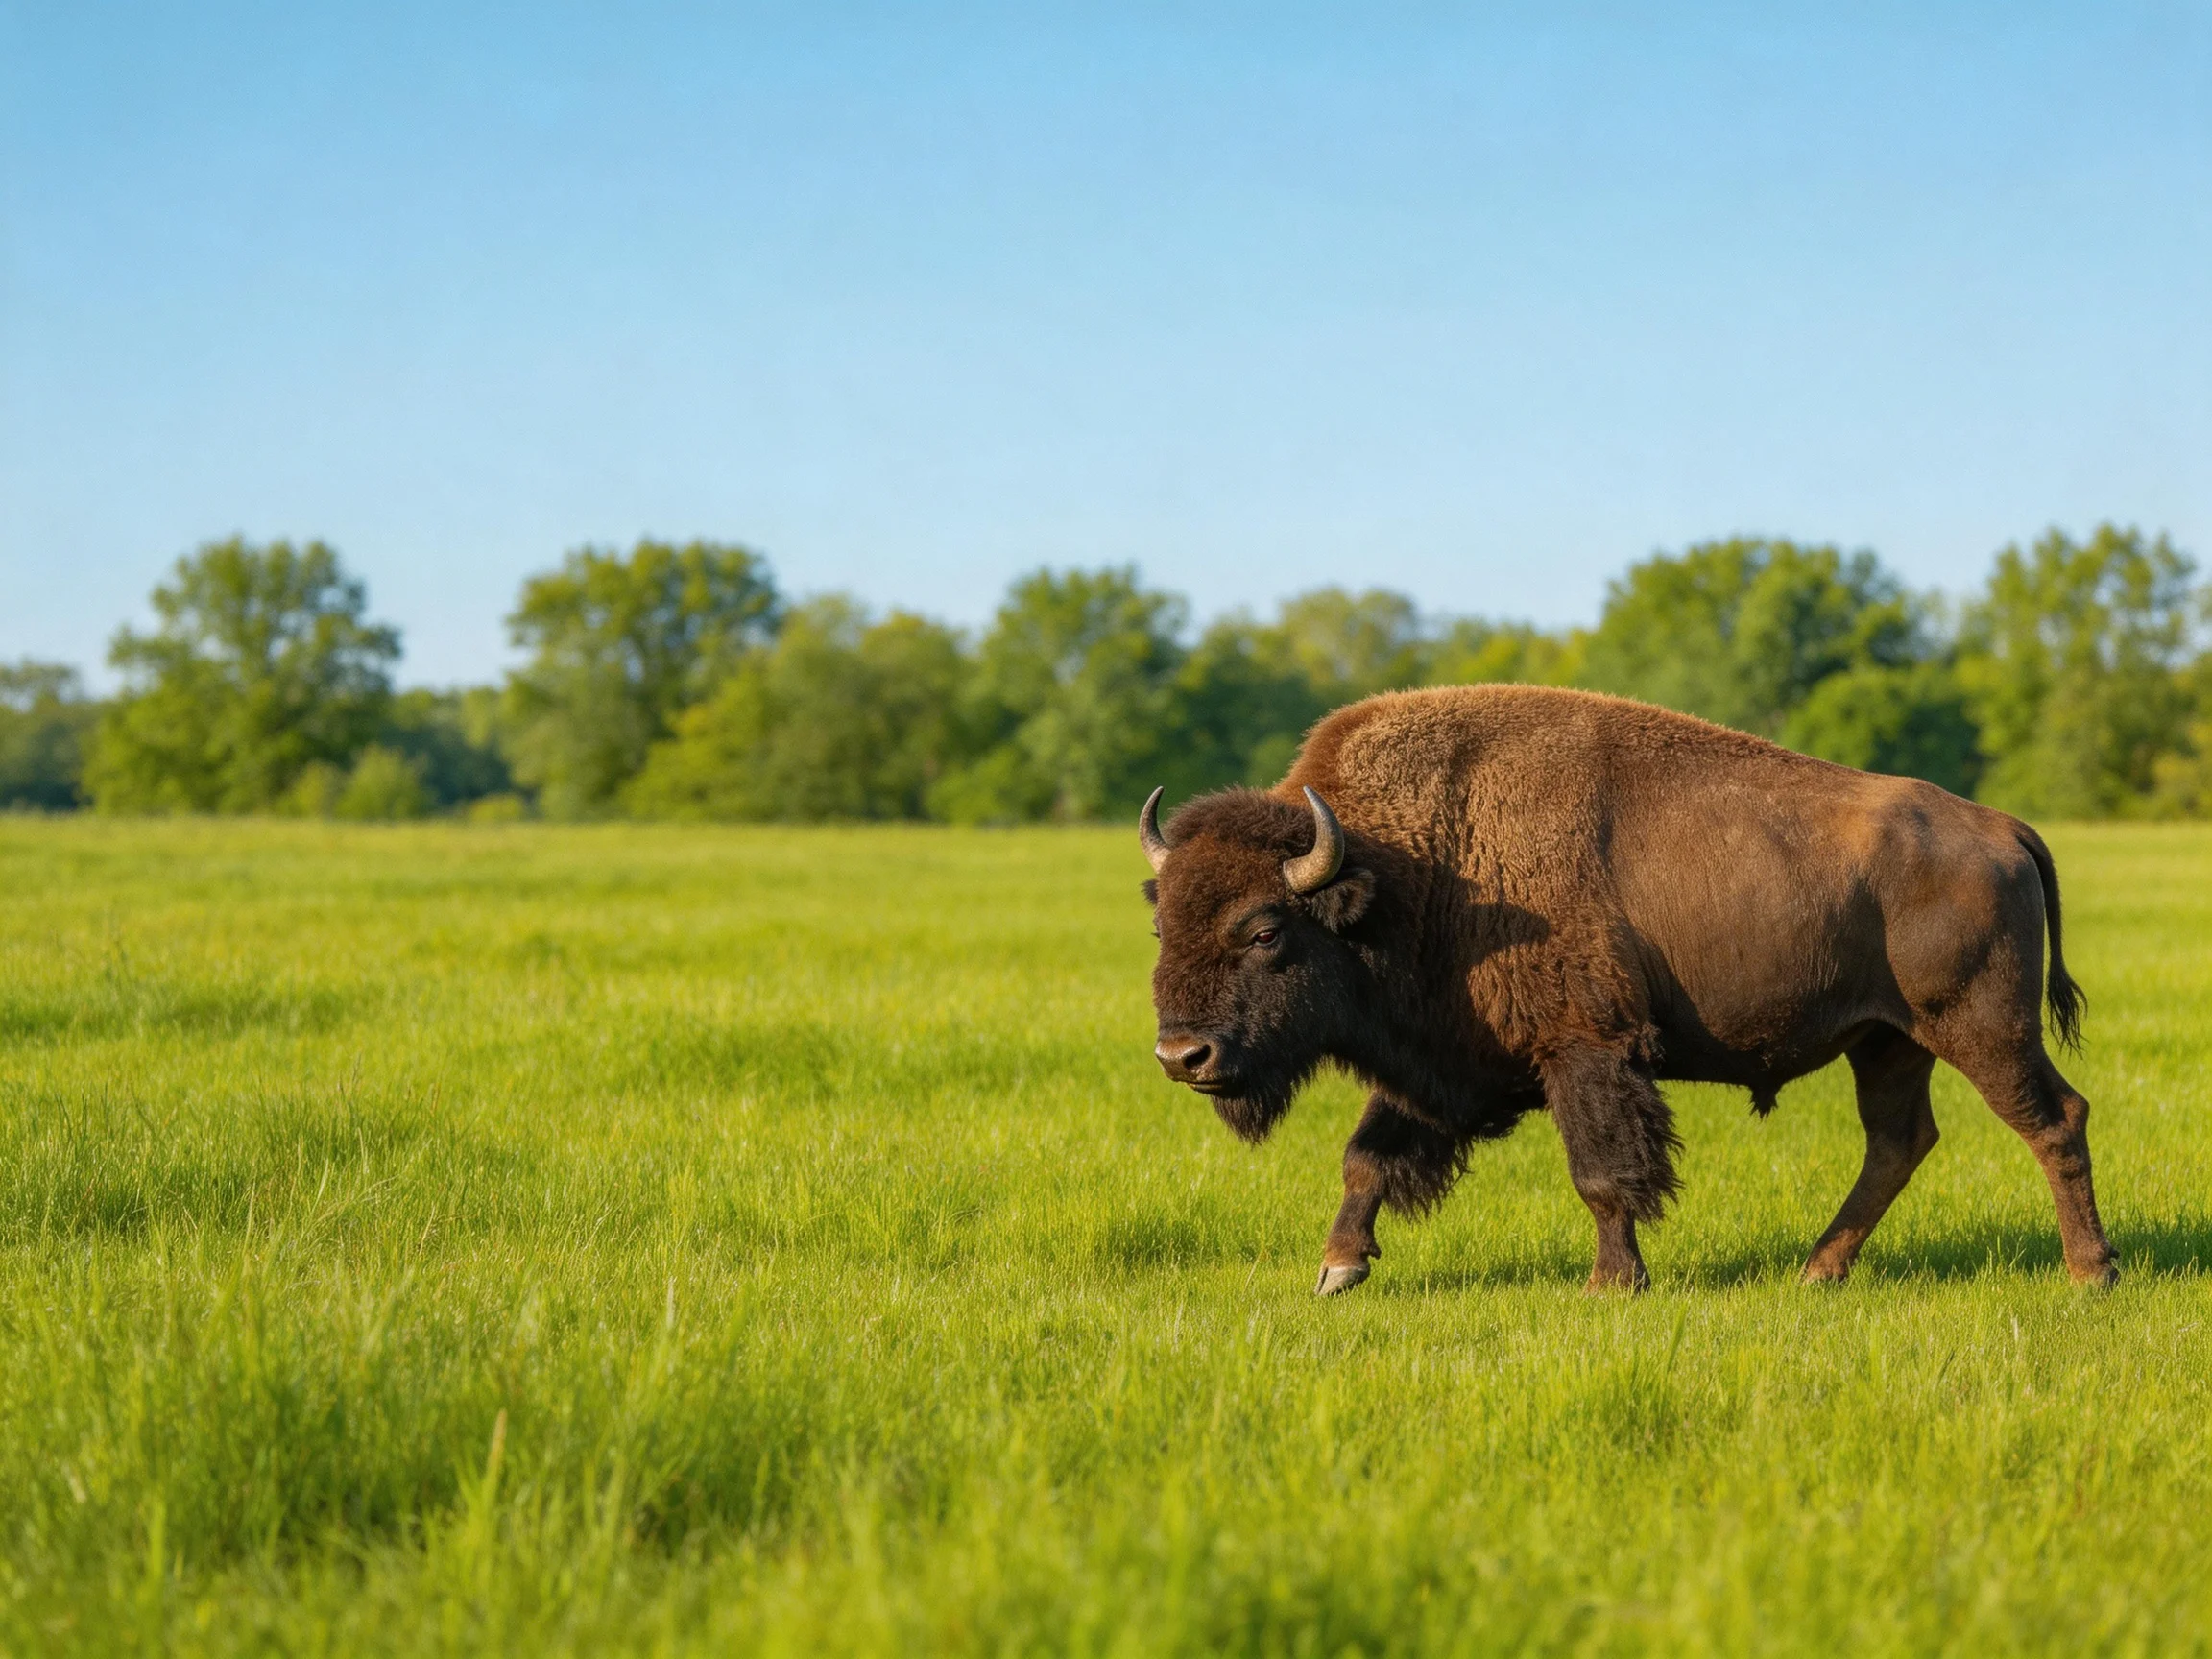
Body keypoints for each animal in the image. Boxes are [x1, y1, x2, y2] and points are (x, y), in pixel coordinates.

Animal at [1140, 684, 2117, 1295]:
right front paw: (1337, 1271)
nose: (1182, 1055)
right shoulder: (1436, 1064)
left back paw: (2091, 1273)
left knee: (2052, 1120)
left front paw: (1613, 1284)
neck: (1410, 869)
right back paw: (1817, 1271)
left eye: (1266, 930)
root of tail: (2000, 827)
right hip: (1889, 1044)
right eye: (1161, 926)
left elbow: (1602, 1175)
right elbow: (1367, 1157)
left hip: (1981, 1029)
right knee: (1899, 1141)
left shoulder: (1585, 1052)